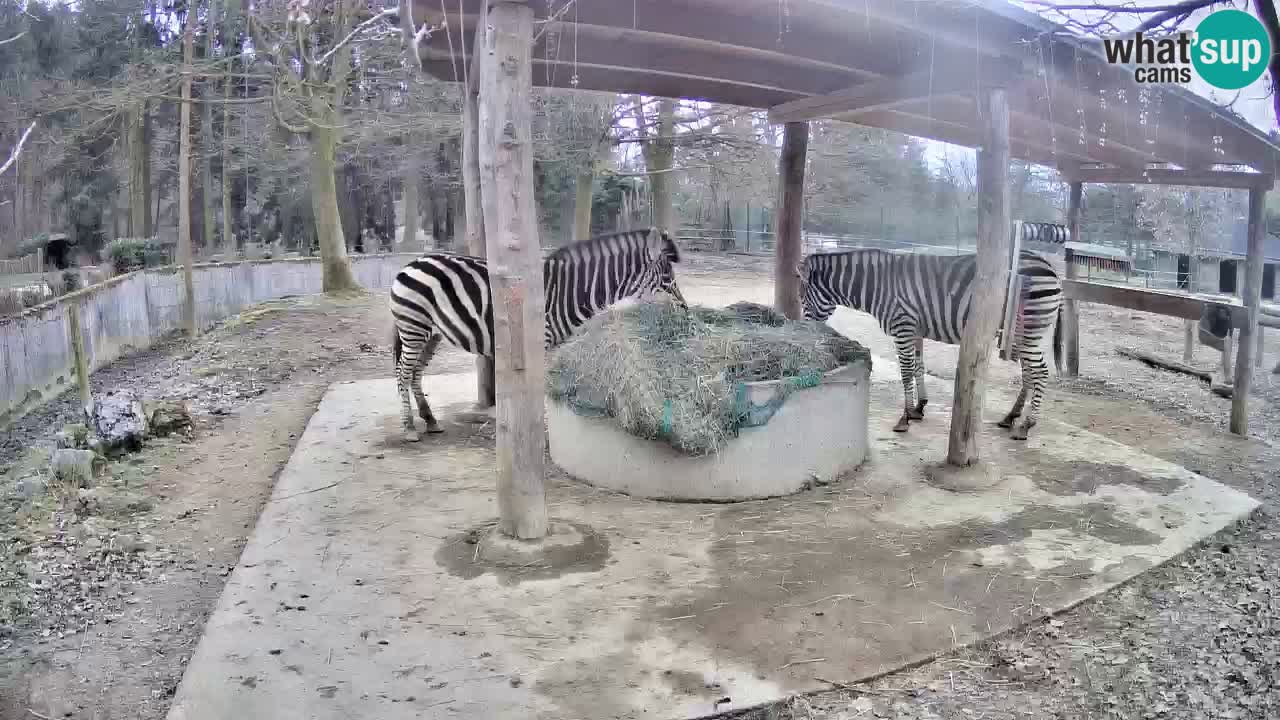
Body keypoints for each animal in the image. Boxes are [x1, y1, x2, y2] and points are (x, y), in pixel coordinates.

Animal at [389, 226, 686, 440]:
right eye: (667, 279)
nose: (684, 309)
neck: (572, 291)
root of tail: (412, 262)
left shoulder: (553, 344)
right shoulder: (539, 341)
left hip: (432, 333)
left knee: (415, 372)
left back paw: (430, 421)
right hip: (413, 326)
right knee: (403, 372)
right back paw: (409, 428)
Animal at [798, 245, 1059, 438]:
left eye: (802, 299)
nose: (804, 330)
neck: (878, 286)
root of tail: (1049, 267)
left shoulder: (902, 326)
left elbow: (905, 372)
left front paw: (904, 417)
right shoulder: (915, 330)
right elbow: (918, 366)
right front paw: (919, 407)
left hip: (1030, 329)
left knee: (1041, 372)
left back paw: (1027, 425)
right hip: (1022, 334)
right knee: (1029, 373)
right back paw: (1011, 417)